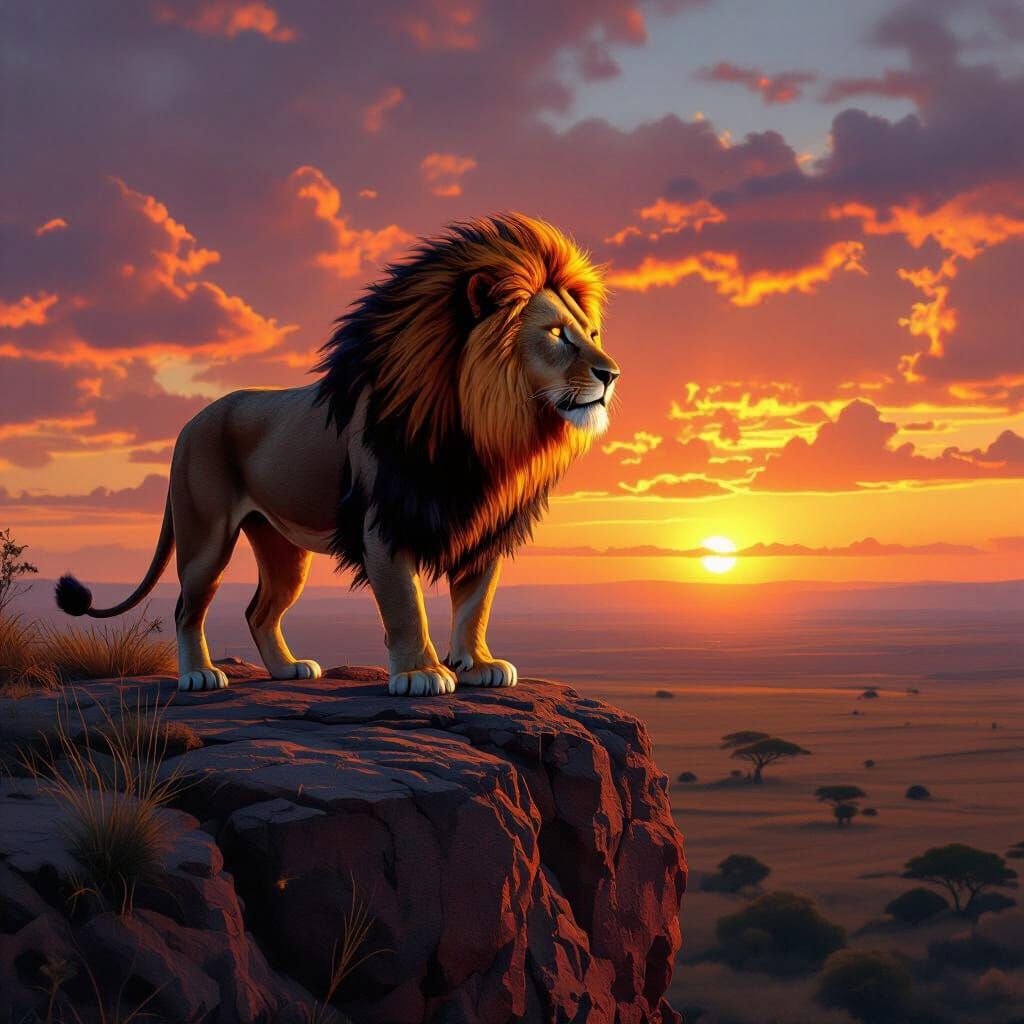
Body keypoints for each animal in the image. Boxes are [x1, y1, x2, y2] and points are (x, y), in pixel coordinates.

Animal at [55, 213, 619, 696]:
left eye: (591, 333)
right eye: (556, 334)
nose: (611, 374)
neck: (484, 432)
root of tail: (191, 422)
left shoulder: (483, 525)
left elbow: (476, 603)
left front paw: (478, 664)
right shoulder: (383, 522)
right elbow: (406, 605)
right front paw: (420, 673)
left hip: (282, 548)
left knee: (259, 611)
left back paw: (287, 669)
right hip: (206, 538)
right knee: (185, 608)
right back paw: (199, 675)